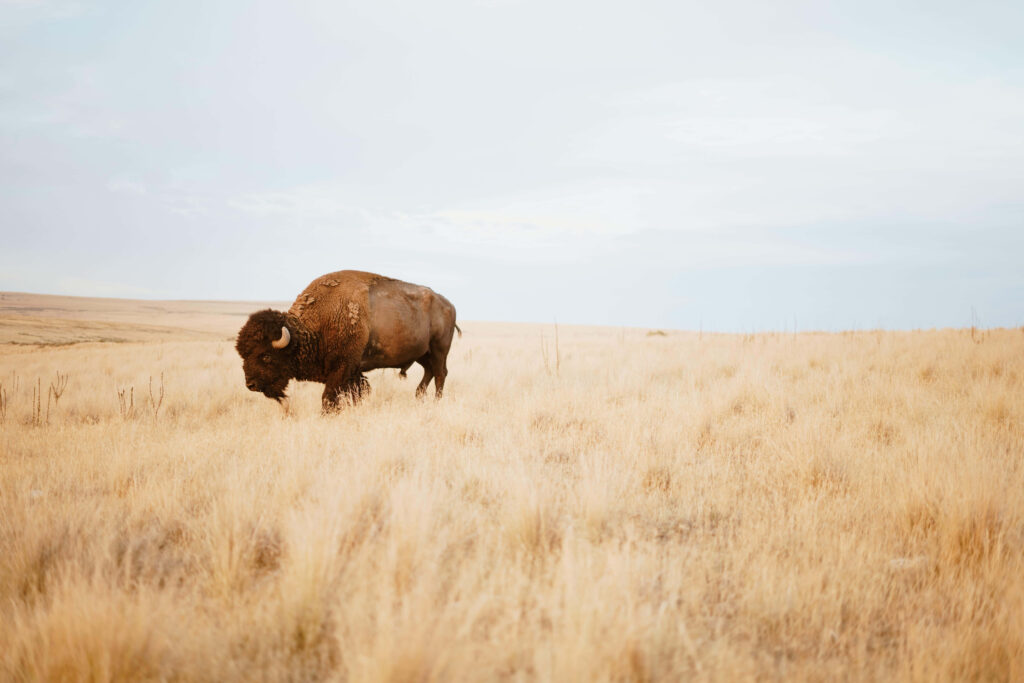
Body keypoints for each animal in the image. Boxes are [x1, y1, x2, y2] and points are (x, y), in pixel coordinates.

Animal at [236, 270, 461, 412]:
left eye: (266, 355)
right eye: (243, 355)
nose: (250, 384)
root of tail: (449, 305)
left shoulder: (342, 368)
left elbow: (329, 397)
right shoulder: (352, 372)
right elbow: (356, 393)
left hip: (439, 350)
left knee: (440, 374)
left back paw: (435, 401)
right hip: (423, 354)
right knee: (429, 372)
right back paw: (419, 397)